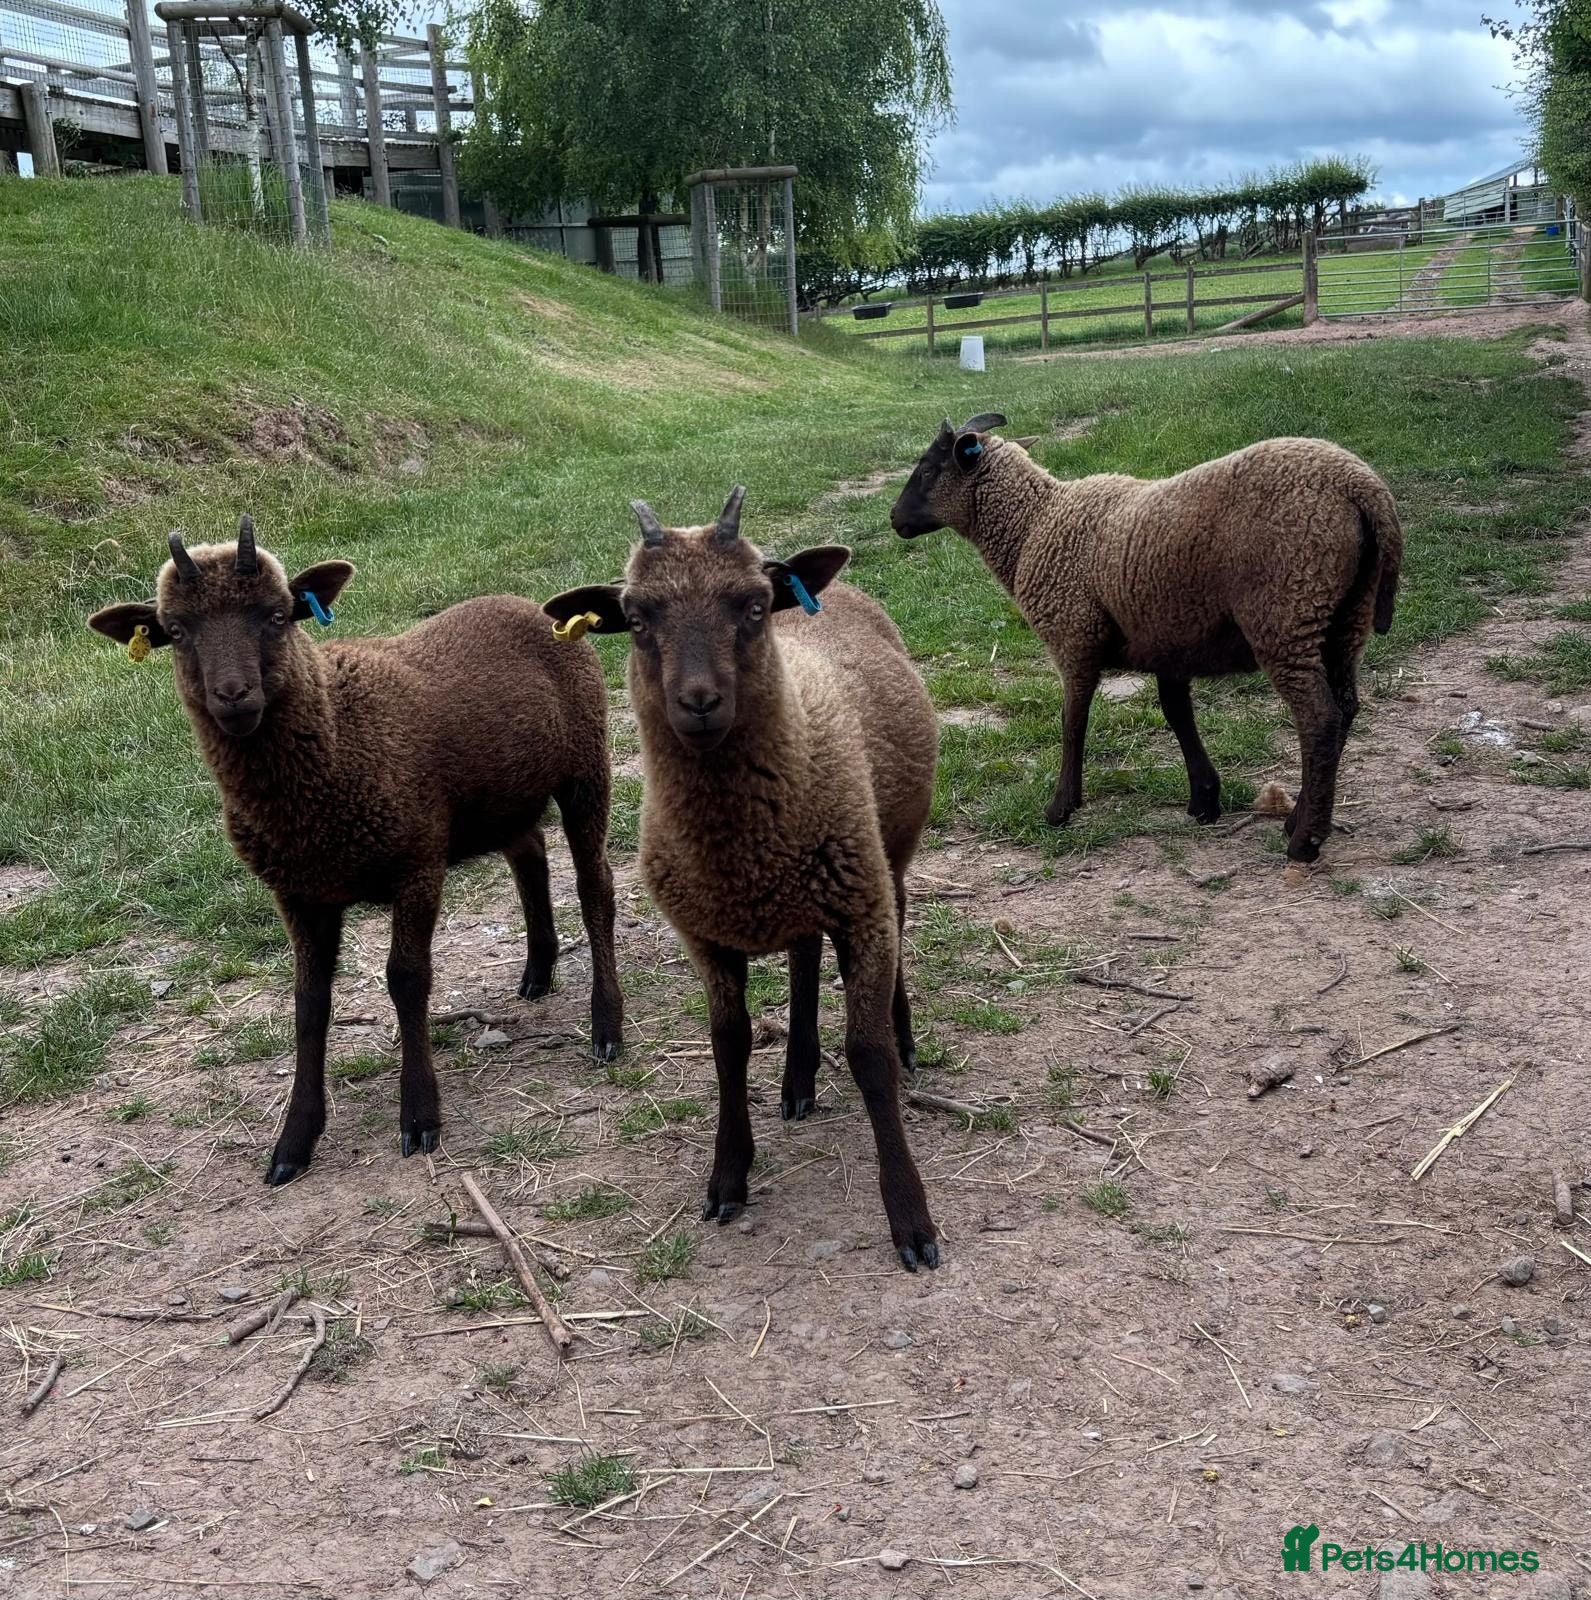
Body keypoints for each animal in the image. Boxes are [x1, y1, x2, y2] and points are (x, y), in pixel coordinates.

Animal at [87, 517, 624, 1184]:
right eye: (176, 631)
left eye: (277, 615)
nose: (233, 696)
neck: (335, 732)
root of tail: (528, 605)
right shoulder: (299, 892)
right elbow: (309, 1004)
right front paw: (294, 1141)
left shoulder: (416, 861)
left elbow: (407, 980)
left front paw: (419, 1116)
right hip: (501, 796)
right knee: (529, 856)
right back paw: (538, 970)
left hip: (585, 766)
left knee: (595, 885)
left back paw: (606, 1025)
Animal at [544, 488, 942, 1271]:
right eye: (636, 619)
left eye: (754, 606)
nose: (698, 701)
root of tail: (830, 588)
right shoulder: (705, 935)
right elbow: (727, 1047)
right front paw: (728, 1177)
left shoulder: (861, 907)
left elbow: (869, 1055)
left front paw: (911, 1219)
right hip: (807, 894)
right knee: (803, 958)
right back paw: (797, 1080)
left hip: (884, 856)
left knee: (896, 924)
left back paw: (903, 1036)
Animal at [890, 415, 1402, 865]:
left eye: (929, 469)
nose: (895, 519)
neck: (1034, 526)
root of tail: (1362, 487)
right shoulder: (1168, 643)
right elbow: (1177, 715)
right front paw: (1204, 800)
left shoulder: (1074, 635)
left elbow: (1072, 722)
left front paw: (1061, 808)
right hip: (1344, 619)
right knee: (1345, 709)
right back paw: (1299, 818)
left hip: (1286, 611)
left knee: (1319, 720)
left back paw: (1305, 841)